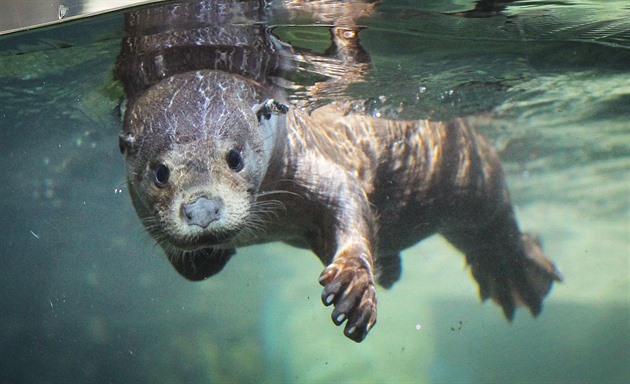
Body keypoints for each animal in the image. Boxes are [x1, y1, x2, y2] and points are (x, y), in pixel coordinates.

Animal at [116, 0, 560, 344]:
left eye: (234, 157)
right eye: (160, 173)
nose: (203, 210)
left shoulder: (316, 162)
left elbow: (349, 202)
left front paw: (354, 284)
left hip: (477, 175)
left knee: (498, 225)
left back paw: (515, 274)